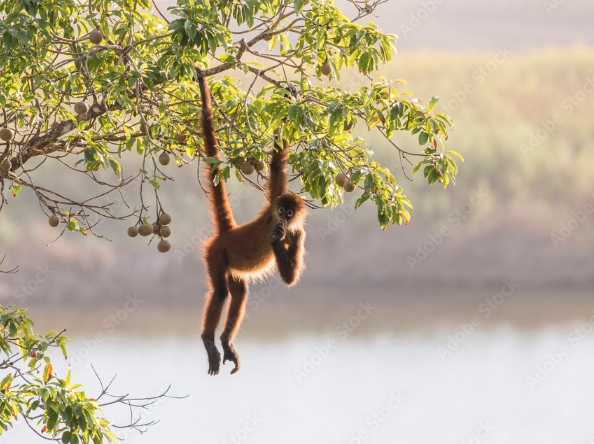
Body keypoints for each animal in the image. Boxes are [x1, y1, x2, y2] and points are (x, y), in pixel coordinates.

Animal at [197, 72, 306, 374]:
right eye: (281, 209)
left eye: (290, 213)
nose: (282, 218)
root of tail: (228, 233)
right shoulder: (273, 200)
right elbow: (278, 162)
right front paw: (289, 97)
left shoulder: (299, 232)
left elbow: (289, 279)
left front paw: (278, 239)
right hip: (216, 253)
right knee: (220, 292)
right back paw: (209, 340)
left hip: (231, 265)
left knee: (239, 293)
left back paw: (225, 341)